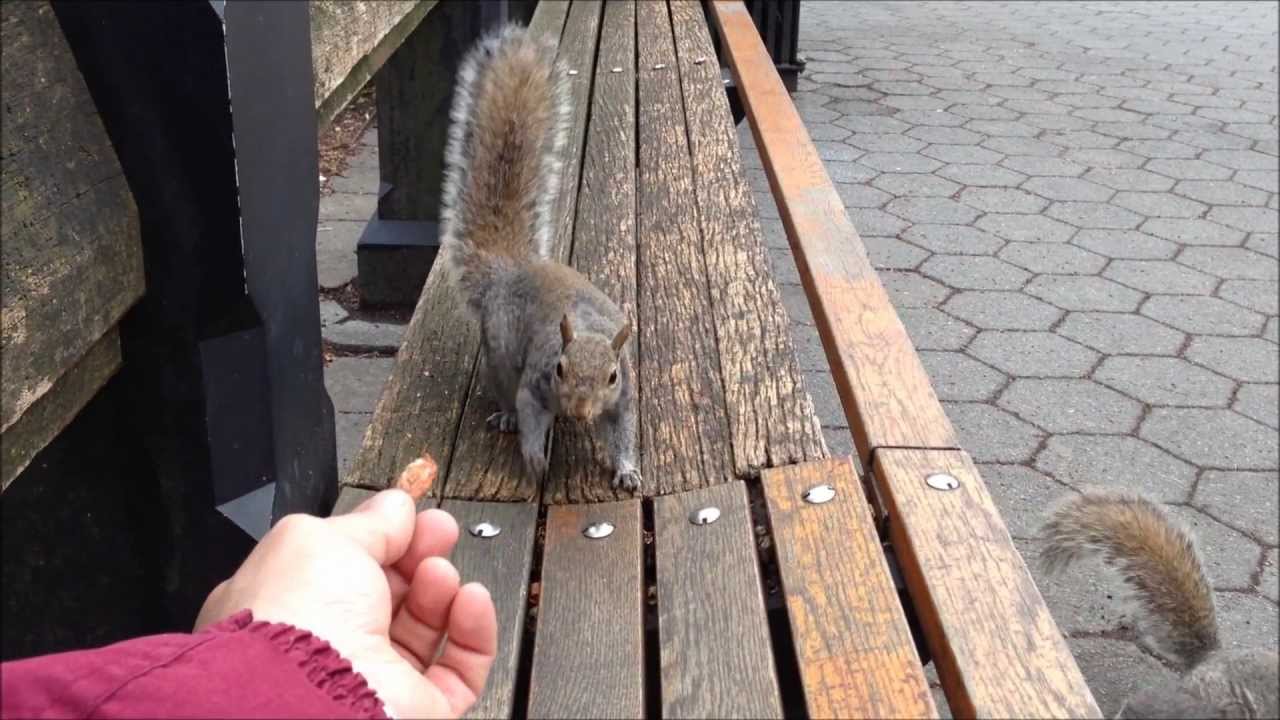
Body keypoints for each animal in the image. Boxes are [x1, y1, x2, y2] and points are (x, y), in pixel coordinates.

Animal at [437, 23, 641, 492]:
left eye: (612, 376)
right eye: (560, 369)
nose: (581, 412)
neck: (586, 330)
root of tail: (510, 271)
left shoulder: (623, 397)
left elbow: (623, 430)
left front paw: (626, 469)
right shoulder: (534, 383)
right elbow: (531, 414)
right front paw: (533, 459)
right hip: (498, 355)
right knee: (504, 387)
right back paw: (506, 415)